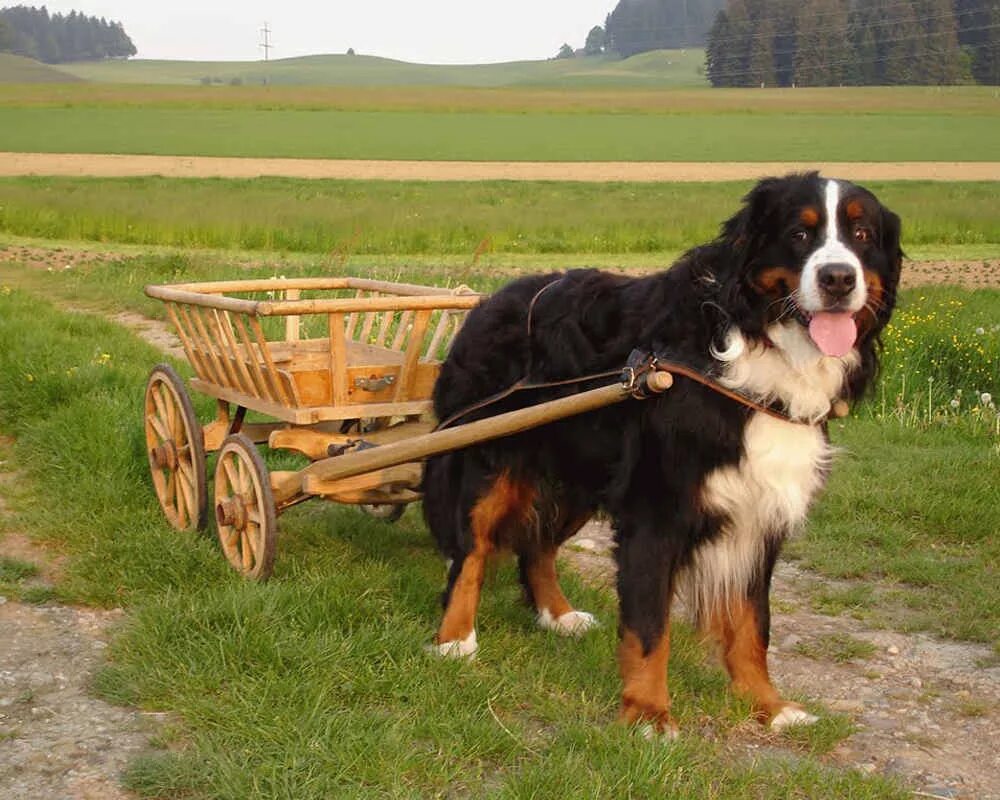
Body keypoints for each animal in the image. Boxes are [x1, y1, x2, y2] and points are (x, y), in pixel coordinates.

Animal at [418, 173, 904, 736]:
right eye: (799, 234)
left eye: (862, 234)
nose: (838, 278)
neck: (750, 354)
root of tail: (487, 302)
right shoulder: (657, 511)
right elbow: (651, 627)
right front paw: (648, 712)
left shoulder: (758, 513)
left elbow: (752, 624)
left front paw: (769, 705)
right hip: (490, 462)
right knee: (470, 550)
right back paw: (455, 638)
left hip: (581, 476)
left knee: (538, 546)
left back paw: (558, 614)